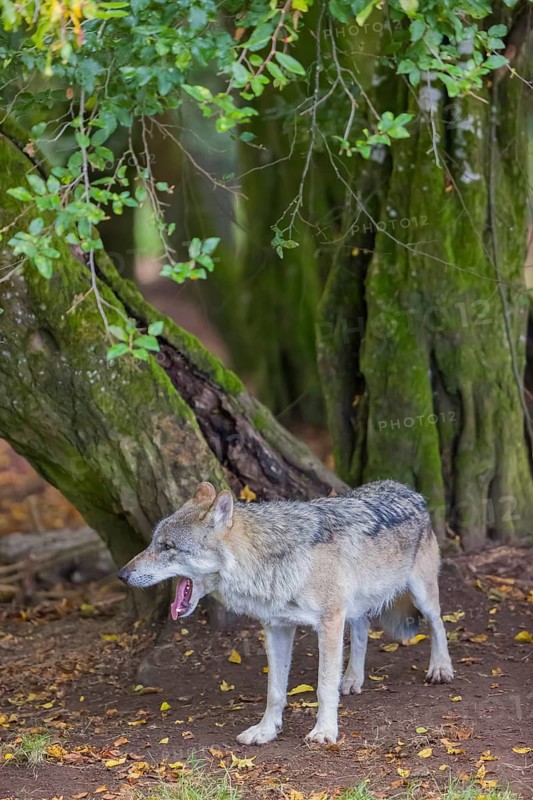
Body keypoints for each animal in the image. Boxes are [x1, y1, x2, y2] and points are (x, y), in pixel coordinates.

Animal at [118, 480, 453, 745]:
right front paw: (266, 731)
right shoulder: (277, 627)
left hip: (421, 595)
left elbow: (323, 686)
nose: (122, 574)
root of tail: (409, 489)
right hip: (355, 606)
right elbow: (275, 692)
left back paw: (440, 669)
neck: (268, 559)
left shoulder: (329, 622)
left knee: (438, 624)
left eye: (167, 547)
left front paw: (325, 731)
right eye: (153, 543)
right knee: (362, 632)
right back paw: (352, 680)